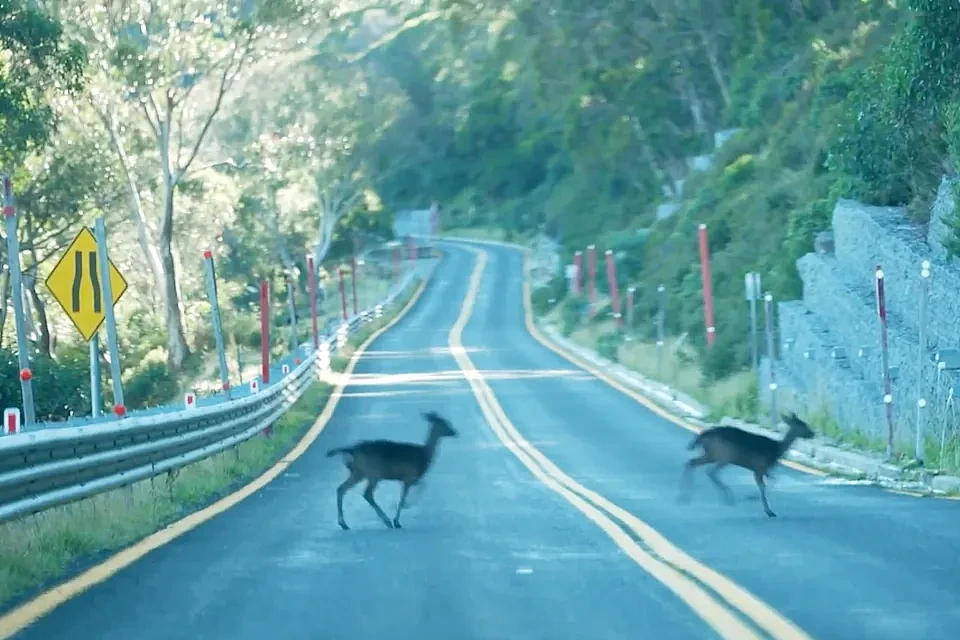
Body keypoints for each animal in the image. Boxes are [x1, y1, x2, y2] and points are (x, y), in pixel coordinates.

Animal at [326, 410, 458, 530]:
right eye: (444, 423)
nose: (455, 432)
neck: (424, 455)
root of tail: (351, 450)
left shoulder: (409, 479)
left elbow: (416, 490)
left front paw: (399, 516)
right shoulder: (409, 477)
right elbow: (407, 496)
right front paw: (398, 519)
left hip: (358, 472)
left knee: (341, 489)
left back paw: (344, 524)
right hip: (373, 472)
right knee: (367, 494)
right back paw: (387, 521)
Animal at [678, 411, 815, 517]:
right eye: (802, 424)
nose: (812, 433)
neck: (777, 450)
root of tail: (702, 436)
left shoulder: (764, 470)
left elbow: (773, 482)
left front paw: (758, 503)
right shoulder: (759, 467)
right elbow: (763, 486)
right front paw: (767, 510)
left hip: (711, 454)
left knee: (691, 463)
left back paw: (685, 497)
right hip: (724, 455)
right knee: (710, 471)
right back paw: (728, 497)